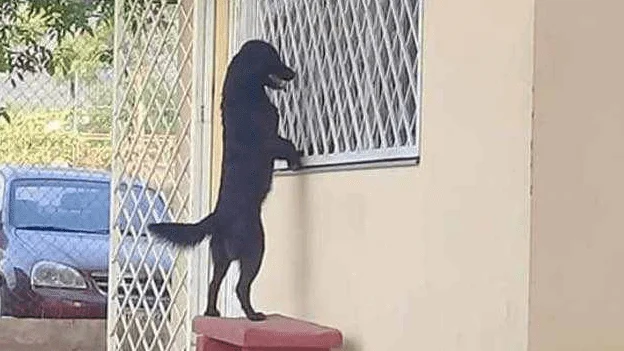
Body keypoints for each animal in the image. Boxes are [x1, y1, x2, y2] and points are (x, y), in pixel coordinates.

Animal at [147, 40, 302, 322]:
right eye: (274, 57)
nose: (294, 73)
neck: (245, 90)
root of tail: (216, 218)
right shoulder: (269, 141)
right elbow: (288, 145)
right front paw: (297, 160)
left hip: (220, 259)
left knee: (213, 285)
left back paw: (211, 312)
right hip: (255, 249)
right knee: (240, 287)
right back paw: (253, 315)